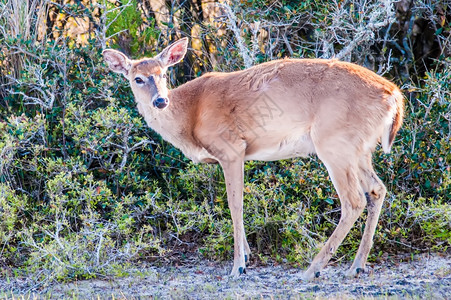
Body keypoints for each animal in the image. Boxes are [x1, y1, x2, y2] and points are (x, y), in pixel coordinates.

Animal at [103, 38, 406, 282]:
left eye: (163, 74)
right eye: (137, 78)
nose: (160, 101)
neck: (190, 115)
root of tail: (394, 95)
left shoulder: (231, 148)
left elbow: (234, 204)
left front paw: (238, 266)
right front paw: (247, 256)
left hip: (334, 142)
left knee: (353, 200)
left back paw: (312, 270)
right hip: (359, 149)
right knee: (377, 189)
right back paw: (356, 266)